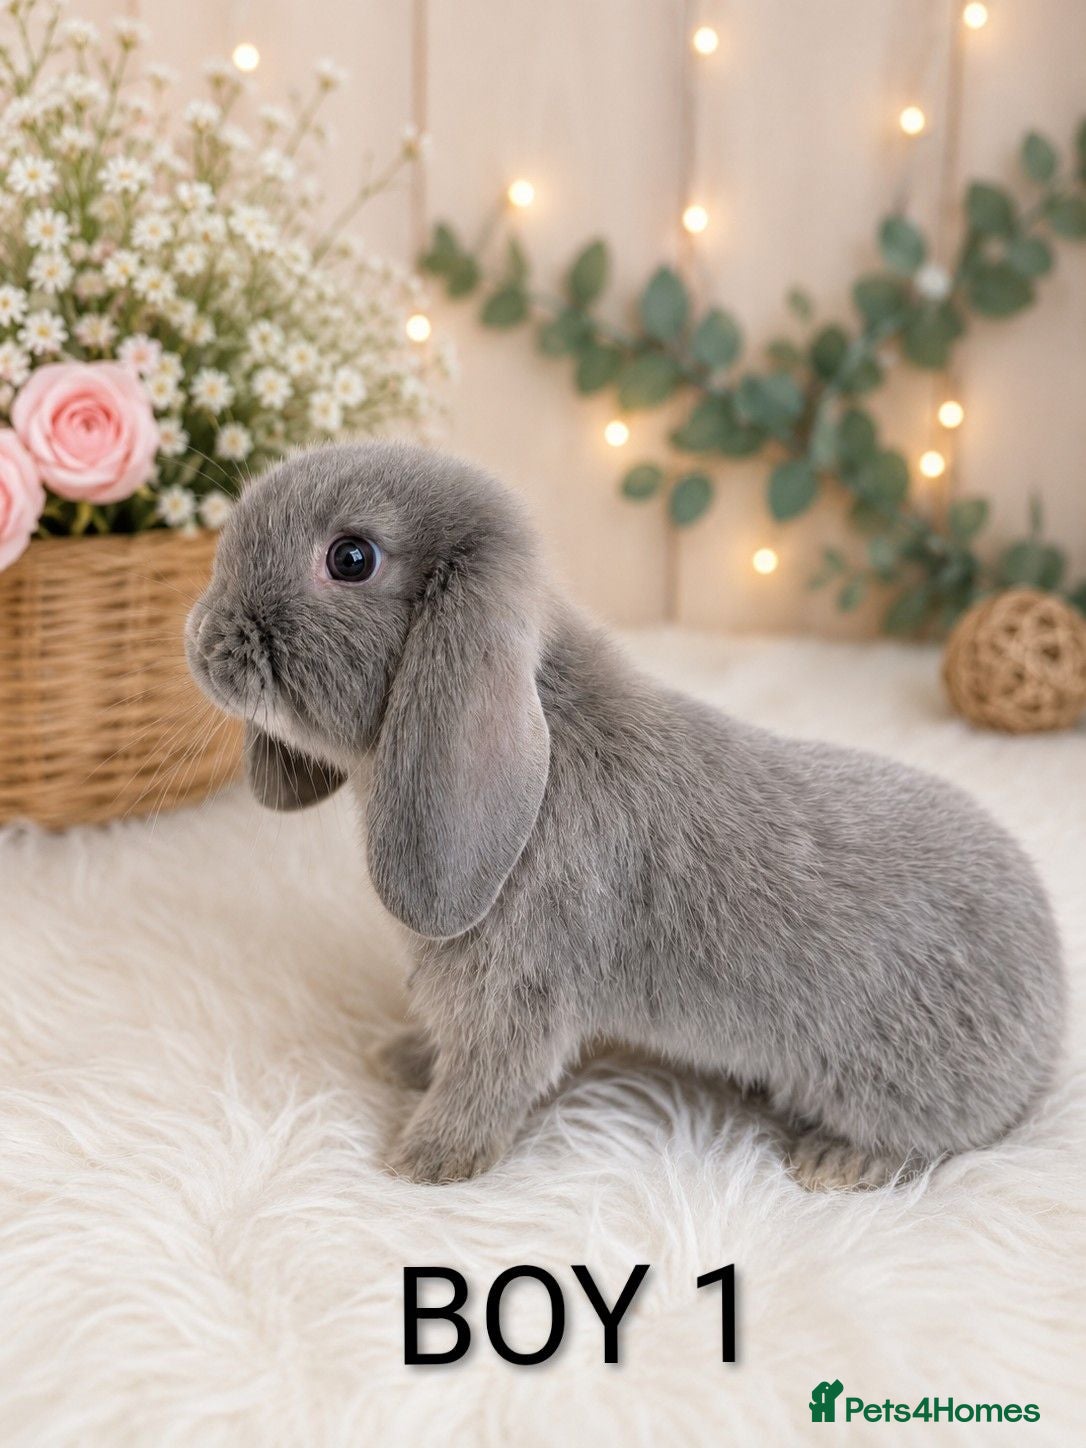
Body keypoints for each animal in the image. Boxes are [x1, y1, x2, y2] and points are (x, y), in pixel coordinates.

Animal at [185, 441, 1065, 1190]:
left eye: (351, 558)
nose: (200, 640)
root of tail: (1051, 1001)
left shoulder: (517, 995)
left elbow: (484, 1082)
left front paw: (424, 1161)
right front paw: (401, 1057)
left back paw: (837, 1162)